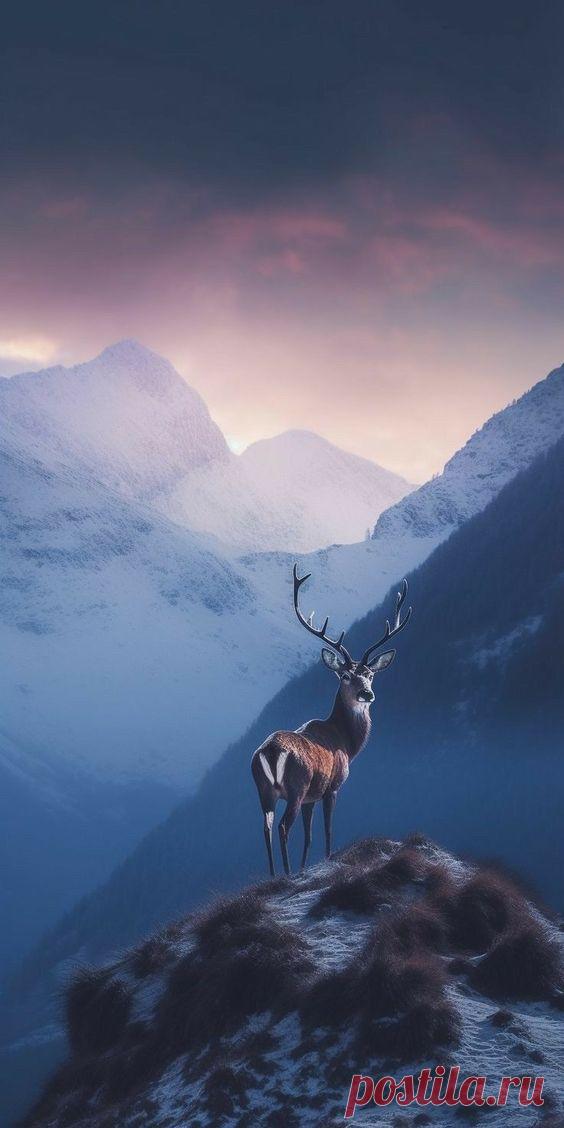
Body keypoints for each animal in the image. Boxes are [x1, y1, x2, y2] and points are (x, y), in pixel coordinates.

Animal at [251, 564, 412, 876]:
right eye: (346, 675)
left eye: (370, 674)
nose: (367, 694)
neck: (347, 743)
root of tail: (271, 751)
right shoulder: (332, 786)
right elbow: (326, 831)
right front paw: (325, 861)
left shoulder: (311, 799)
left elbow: (310, 836)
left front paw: (305, 867)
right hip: (296, 786)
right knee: (282, 827)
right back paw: (286, 874)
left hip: (263, 789)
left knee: (265, 828)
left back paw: (274, 875)